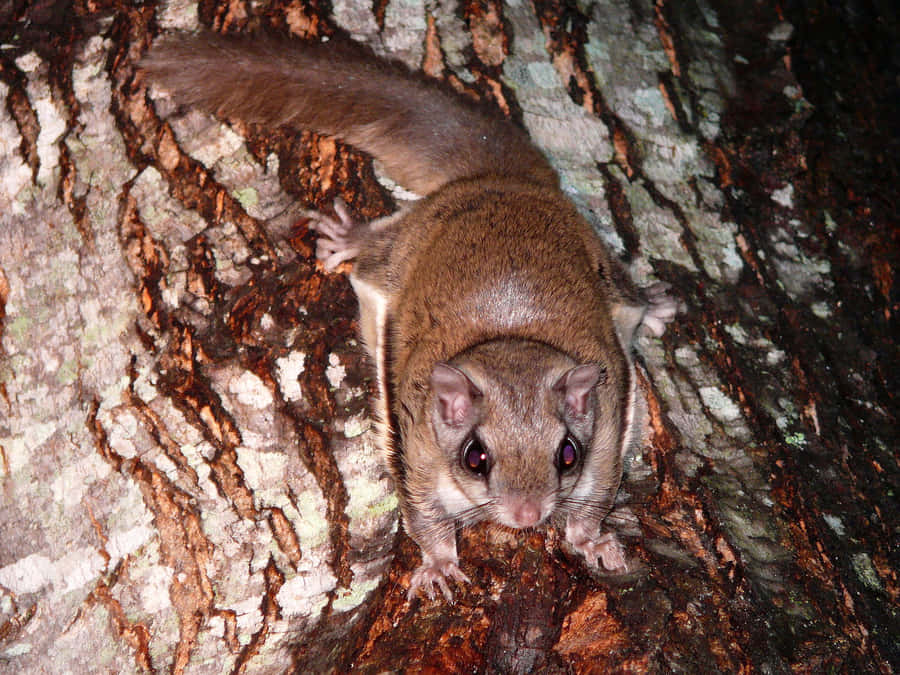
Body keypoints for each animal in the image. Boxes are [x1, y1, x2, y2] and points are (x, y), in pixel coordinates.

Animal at [141, 31, 678, 602]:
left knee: (629, 297)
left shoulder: (607, 435)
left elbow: (594, 500)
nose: (527, 514)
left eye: (568, 455)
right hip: (402, 247)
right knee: (377, 251)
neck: (510, 336)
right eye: (475, 458)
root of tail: (500, 182)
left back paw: (655, 305)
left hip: (605, 268)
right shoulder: (416, 446)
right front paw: (439, 565)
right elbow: (423, 516)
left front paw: (592, 540)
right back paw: (350, 237)